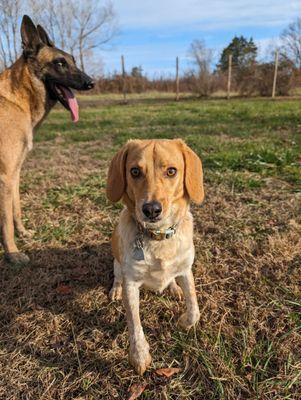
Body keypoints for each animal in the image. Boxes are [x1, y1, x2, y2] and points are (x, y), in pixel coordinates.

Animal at [0, 15, 94, 266]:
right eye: (60, 63)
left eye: (73, 61)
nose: (91, 82)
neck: (19, 98)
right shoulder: (6, 176)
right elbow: (6, 221)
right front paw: (12, 253)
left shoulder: (15, 173)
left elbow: (16, 209)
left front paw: (23, 233)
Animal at [106, 138, 204, 376]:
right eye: (134, 171)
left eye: (171, 171)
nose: (151, 209)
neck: (159, 237)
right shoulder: (131, 284)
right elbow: (134, 324)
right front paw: (139, 356)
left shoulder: (186, 270)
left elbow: (194, 309)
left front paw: (184, 322)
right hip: (116, 263)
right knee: (117, 277)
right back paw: (115, 290)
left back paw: (174, 289)